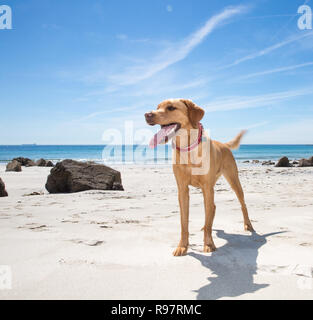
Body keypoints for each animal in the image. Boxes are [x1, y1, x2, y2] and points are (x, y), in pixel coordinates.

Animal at [144, 99, 254, 256]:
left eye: (171, 107)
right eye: (157, 107)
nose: (147, 115)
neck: (187, 148)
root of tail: (224, 144)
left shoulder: (207, 188)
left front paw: (208, 243)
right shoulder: (182, 189)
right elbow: (184, 222)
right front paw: (182, 246)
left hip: (233, 180)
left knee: (242, 204)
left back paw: (248, 224)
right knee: (212, 208)